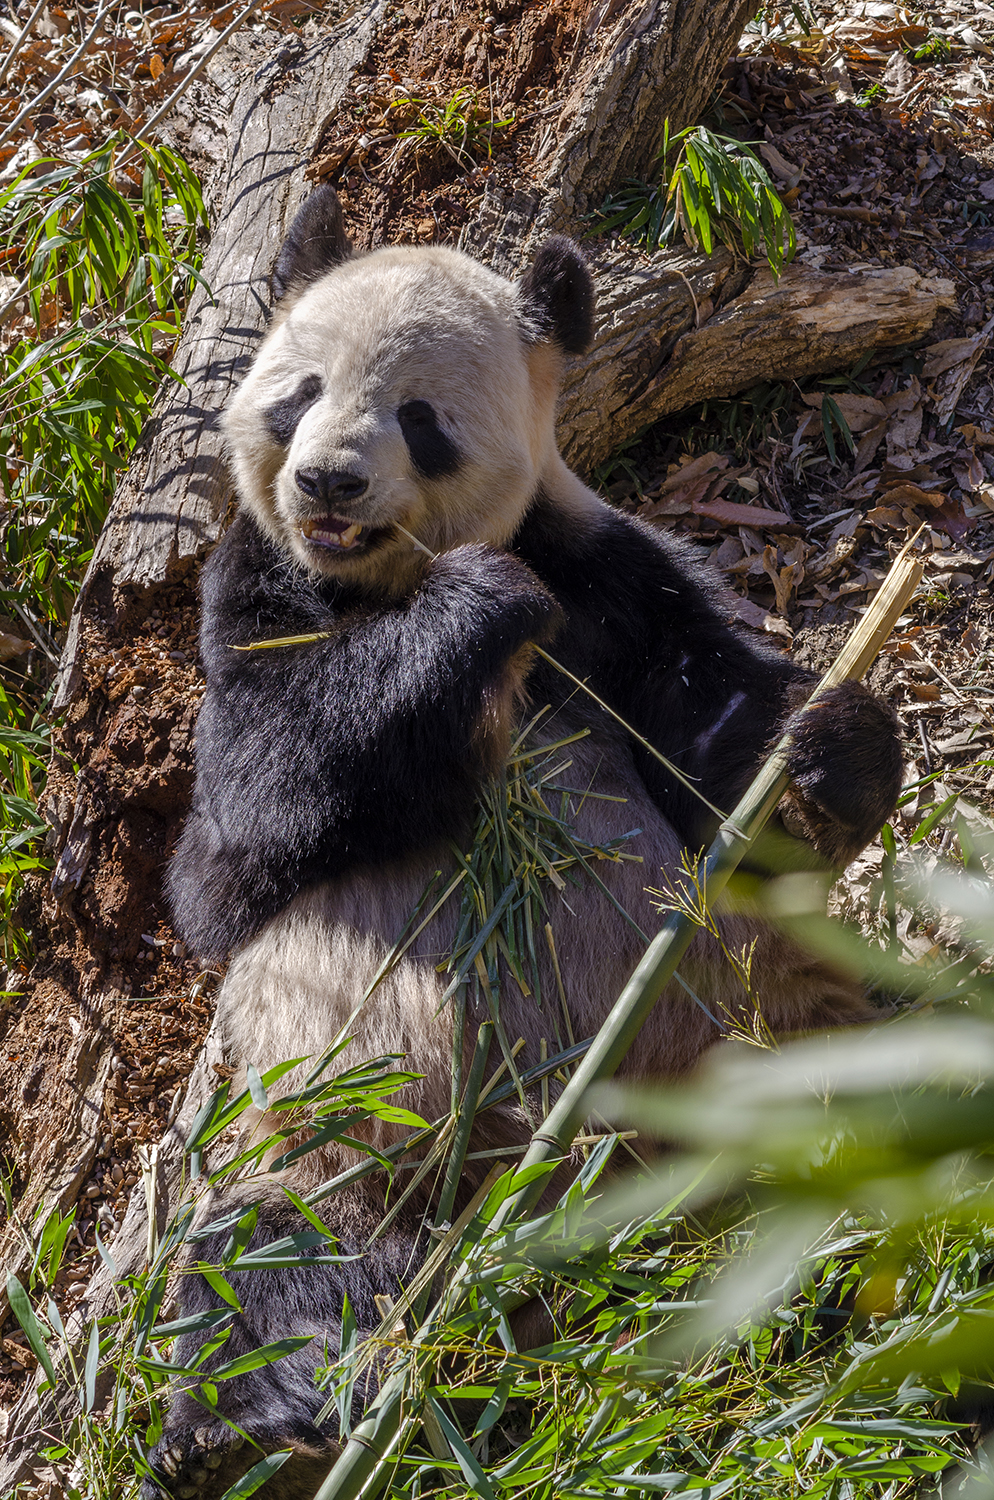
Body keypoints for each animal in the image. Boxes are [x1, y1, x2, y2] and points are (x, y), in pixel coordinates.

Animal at [144, 184, 903, 1499]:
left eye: (418, 417)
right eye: (297, 390)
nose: (328, 482)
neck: (374, 585)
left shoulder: (612, 582)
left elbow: (722, 767)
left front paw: (828, 746)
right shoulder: (250, 611)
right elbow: (235, 850)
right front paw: (477, 609)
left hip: (770, 1030)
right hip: (352, 1128)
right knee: (273, 1254)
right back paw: (253, 1429)